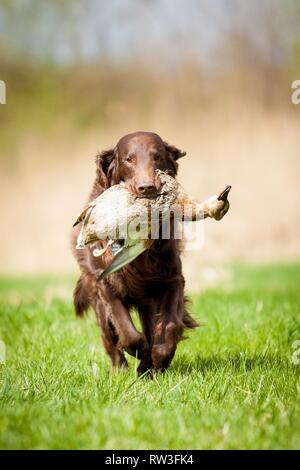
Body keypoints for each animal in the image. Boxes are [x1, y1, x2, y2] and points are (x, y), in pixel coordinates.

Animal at [71, 130, 200, 372]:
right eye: (129, 159)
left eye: (157, 156)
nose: (147, 187)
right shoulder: (107, 283)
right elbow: (127, 332)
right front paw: (140, 352)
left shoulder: (172, 279)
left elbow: (169, 325)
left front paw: (159, 357)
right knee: (108, 335)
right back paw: (120, 368)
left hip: (146, 299)